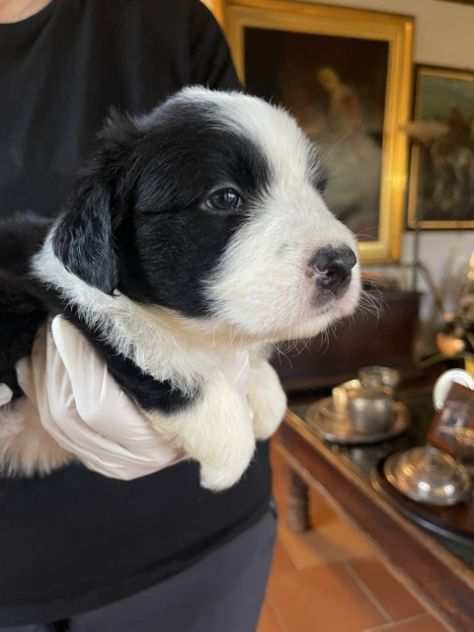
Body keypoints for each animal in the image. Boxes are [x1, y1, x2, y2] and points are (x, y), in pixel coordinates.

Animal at [0, 87, 360, 488]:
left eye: (318, 190)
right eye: (225, 197)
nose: (341, 264)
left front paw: (262, 387)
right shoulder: (67, 297)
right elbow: (154, 357)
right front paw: (228, 455)